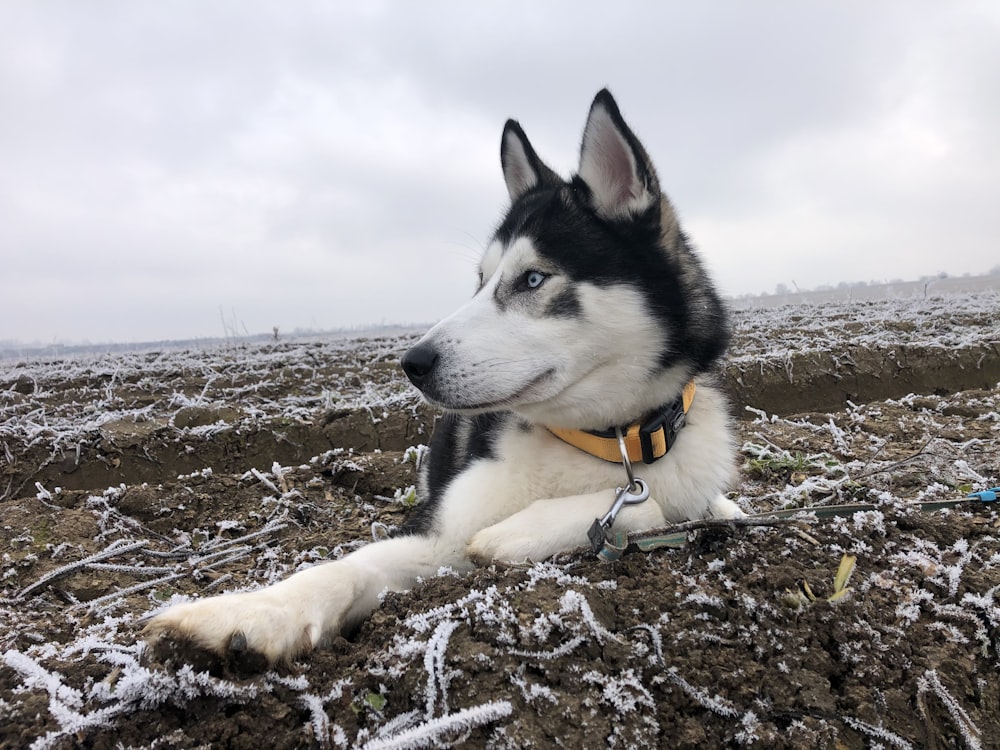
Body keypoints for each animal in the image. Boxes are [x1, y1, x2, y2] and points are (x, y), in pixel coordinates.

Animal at [145, 91, 740, 668]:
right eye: (480, 281)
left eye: (532, 279)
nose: (412, 363)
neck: (605, 442)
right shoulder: (436, 531)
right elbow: (345, 569)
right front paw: (251, 613)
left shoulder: (670, 485)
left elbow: (654, 506)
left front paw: (517, 533)